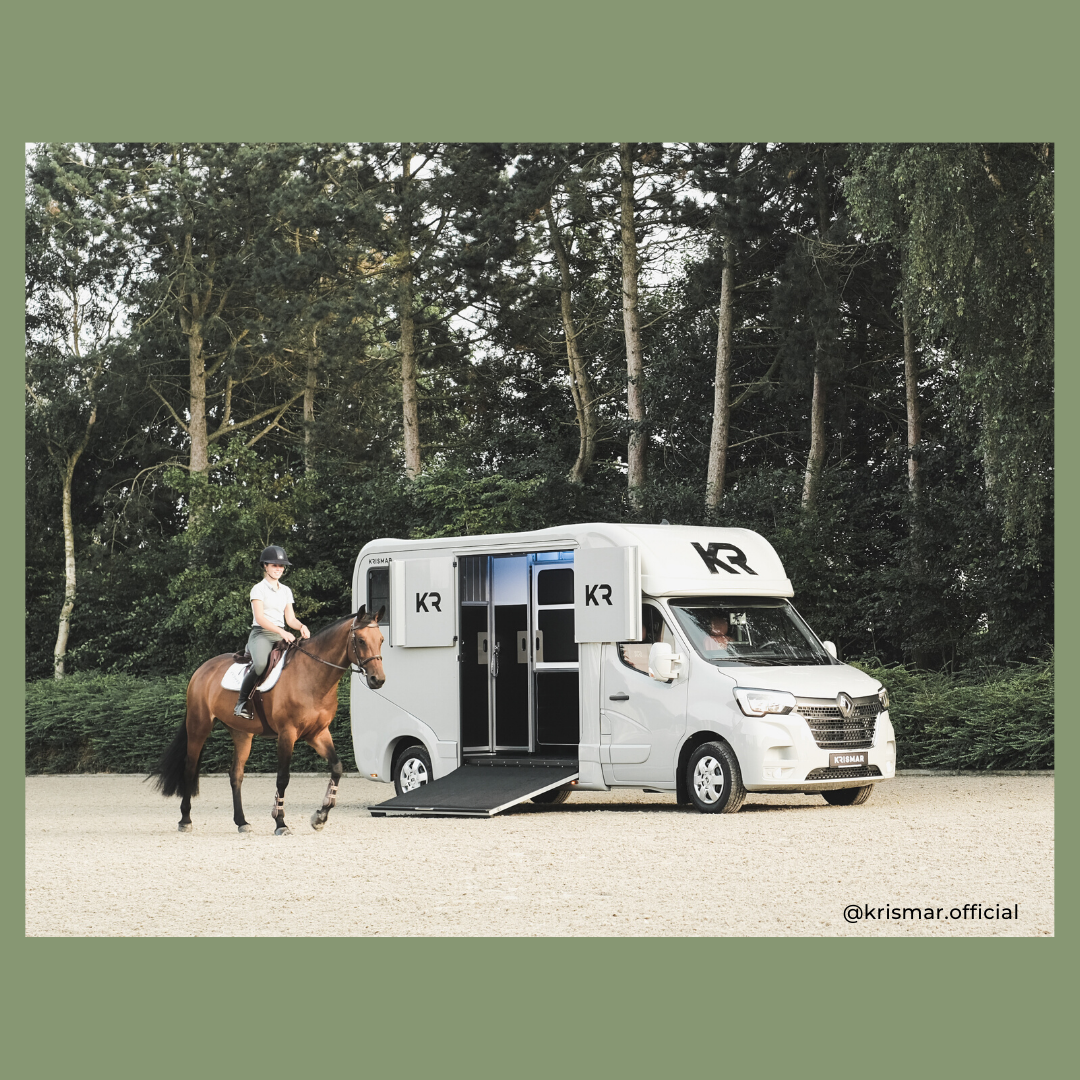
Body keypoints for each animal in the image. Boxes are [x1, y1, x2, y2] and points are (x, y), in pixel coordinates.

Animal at [150, 606, 385, 834]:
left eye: (381, 639)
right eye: (361, 640)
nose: (378, 680)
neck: (311, 674)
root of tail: (202, 670)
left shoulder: (318, 733)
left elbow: (336, 767)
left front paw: (320, 816)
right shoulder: (287, 734)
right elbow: (282, 777)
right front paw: (280, 823)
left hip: (241, 734)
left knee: (236, 775)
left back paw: (242, 822)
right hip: (199, 727)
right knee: (189, 769)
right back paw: (185, 820)